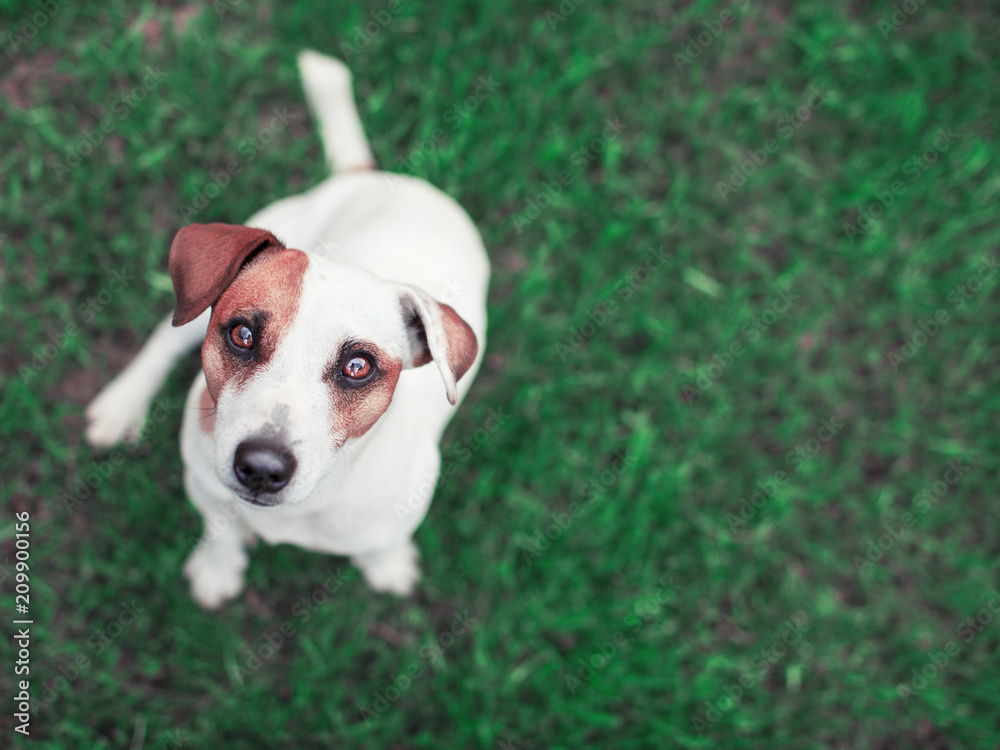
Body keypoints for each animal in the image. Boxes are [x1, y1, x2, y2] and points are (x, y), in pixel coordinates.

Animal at [84, 50, 490, 612]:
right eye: (242, 335)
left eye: (358, 366)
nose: (261, 466)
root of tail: (373, 178)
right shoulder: (203, 483)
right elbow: (220, 528)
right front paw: (218, 568)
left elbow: (384, 542)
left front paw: (387, 566)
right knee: (164, 340)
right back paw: (121, 404)